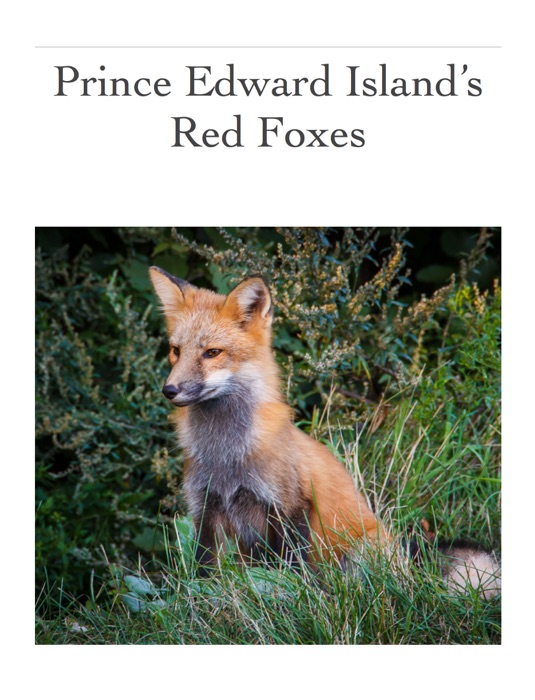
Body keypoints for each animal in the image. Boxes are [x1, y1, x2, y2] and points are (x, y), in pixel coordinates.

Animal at [149, 266, 386, 574]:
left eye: (212, 352)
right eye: (176, 351)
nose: (169, 390)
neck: (225, 455)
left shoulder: (290, 506)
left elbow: (294, 570)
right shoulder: (204, 508)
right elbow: (204, 571)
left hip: (361, 552)